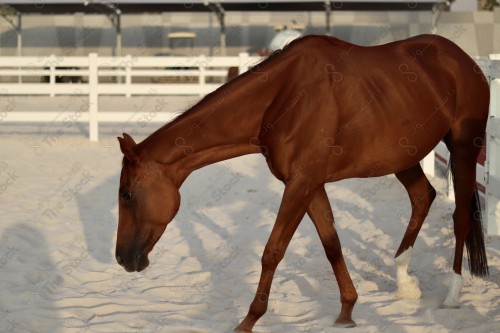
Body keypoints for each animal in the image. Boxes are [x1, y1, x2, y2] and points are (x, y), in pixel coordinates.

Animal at [114, 33, 488, 330]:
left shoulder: (301, 183)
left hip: (464, 146)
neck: (282, 98)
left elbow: (272, 251)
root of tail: (461, 57)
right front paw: (346, 311)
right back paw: (404, 280)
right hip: (403, 157)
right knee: (422, 196)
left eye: (127, 194)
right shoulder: (310, 184)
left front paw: (249, 319)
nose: (121, 259)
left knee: (461, 217)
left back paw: (452, 293)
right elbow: (331, 244)